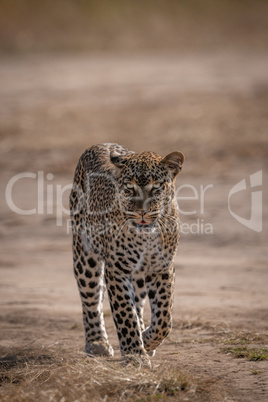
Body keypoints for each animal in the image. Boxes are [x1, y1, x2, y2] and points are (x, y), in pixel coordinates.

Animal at [69, 142, 184, 362]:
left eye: (156, 187)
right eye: (129, 187)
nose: (142, 212)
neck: (146, 236)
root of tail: (100, 144)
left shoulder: (162, 268)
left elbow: (164, 318)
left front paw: (146, 340)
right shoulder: (117, 270)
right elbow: (125, 313)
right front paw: (135, 355)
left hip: (138, 275)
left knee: (138, 303)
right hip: (85, 255)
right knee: (91, 300)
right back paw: (97, 343)